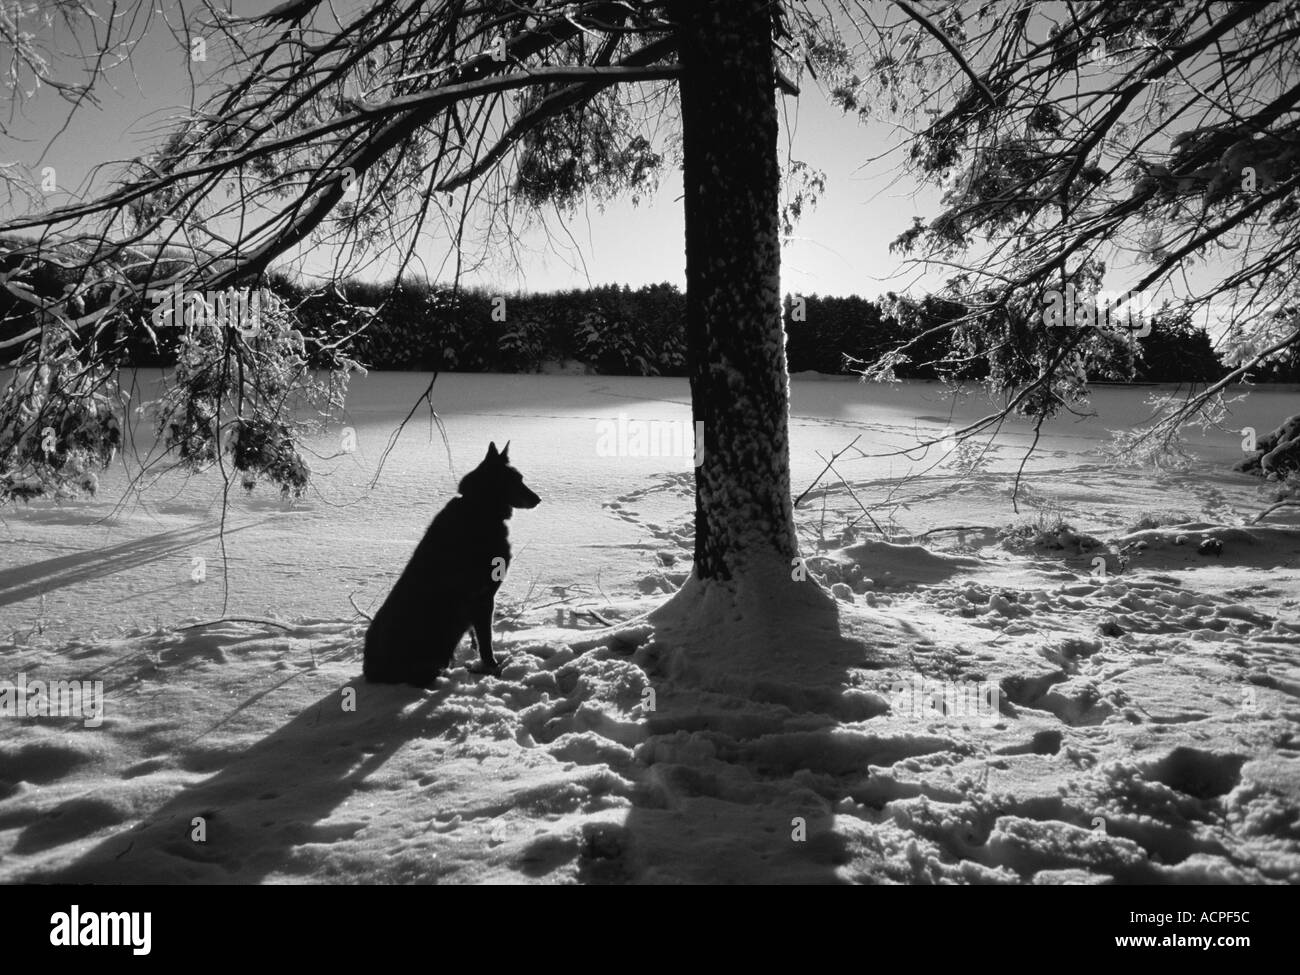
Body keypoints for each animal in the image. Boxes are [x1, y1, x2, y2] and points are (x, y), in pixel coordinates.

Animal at [364, 441, 540, 686]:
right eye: (515, 480)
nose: (538, 499)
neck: (479, 508)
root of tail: (369, 670)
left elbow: (478, 638)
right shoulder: (483, 597)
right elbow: (486, 641)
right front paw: (492, 668)